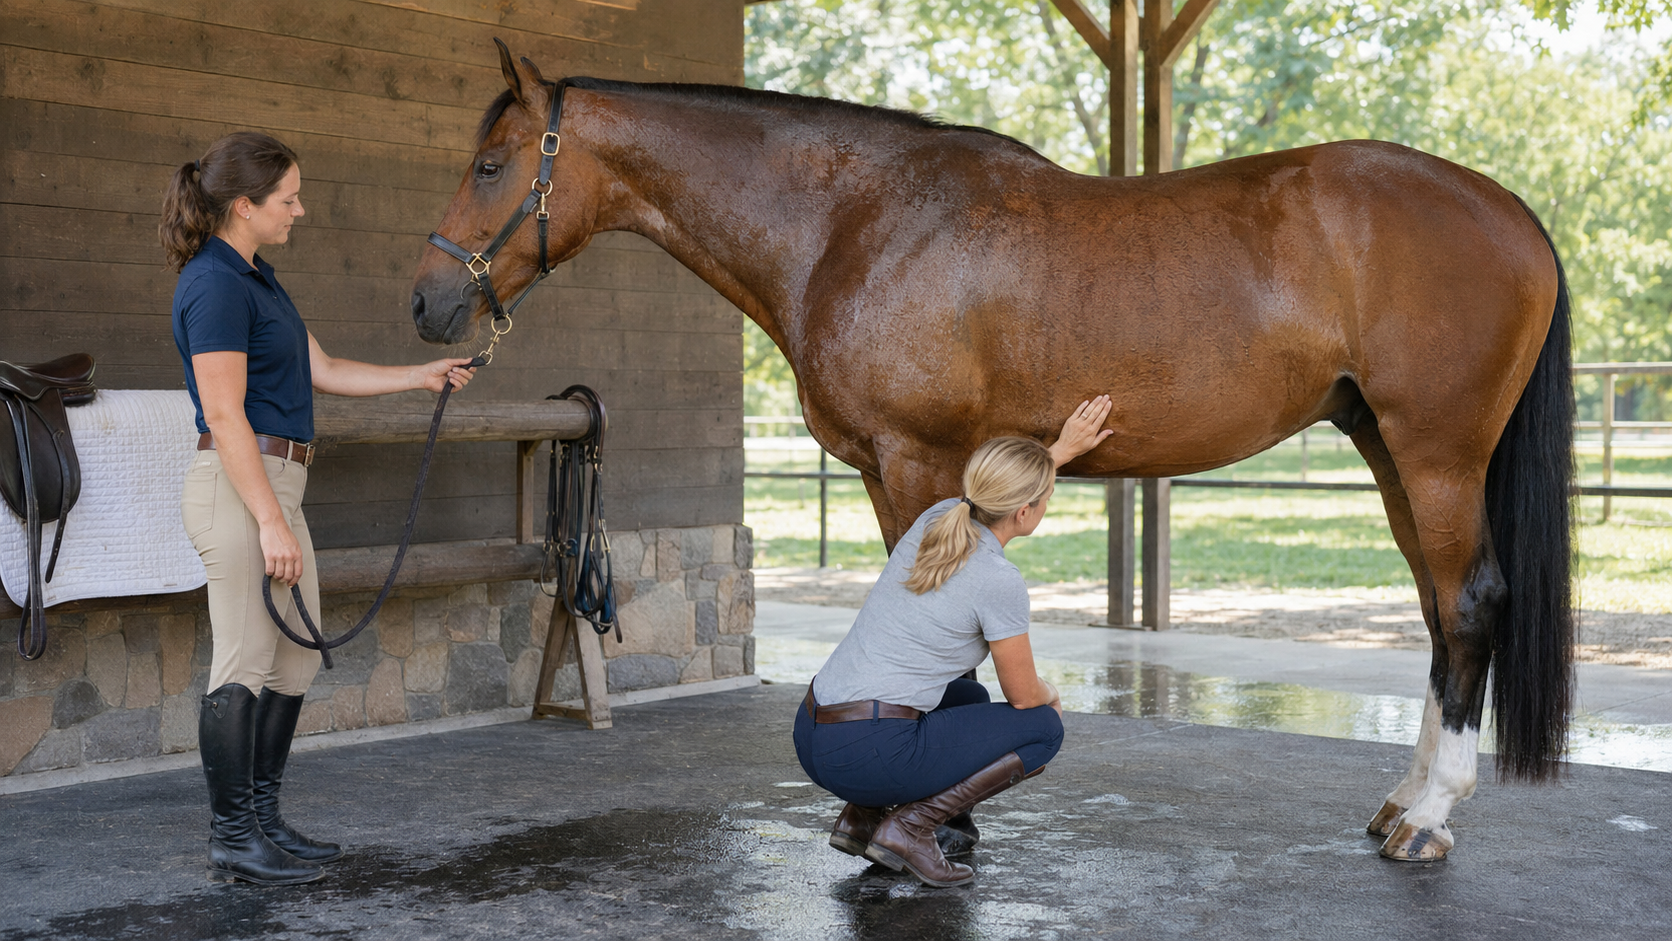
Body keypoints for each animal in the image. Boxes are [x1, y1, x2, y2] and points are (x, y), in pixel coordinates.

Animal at [411, 43, 1575, 863]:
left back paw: (1428, 817)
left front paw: (915, 817)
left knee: (1468, 603)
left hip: (1435, 452)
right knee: (1436, 611)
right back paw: (1398, 800)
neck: (852, 222)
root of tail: (1509, 208)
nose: (427, 304)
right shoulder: (891, 471)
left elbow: (942, 629)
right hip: (1385, 446)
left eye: (489, 163)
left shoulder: (917, 461)